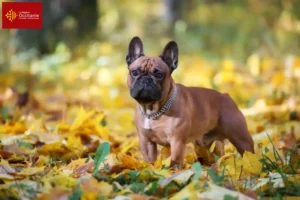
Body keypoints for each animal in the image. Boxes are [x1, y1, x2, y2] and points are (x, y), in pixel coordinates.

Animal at [125, 36, 254, 167]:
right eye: (134, 72)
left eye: (159, 74)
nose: (146, 80)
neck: (152, 110)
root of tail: (226, 96)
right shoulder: (146, 141)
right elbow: (150, 160)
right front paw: (151, 168)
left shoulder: (177, 141)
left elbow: (175, 161)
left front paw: (173, 170)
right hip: (201, 144)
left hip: (241, 138)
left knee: (249, 153)